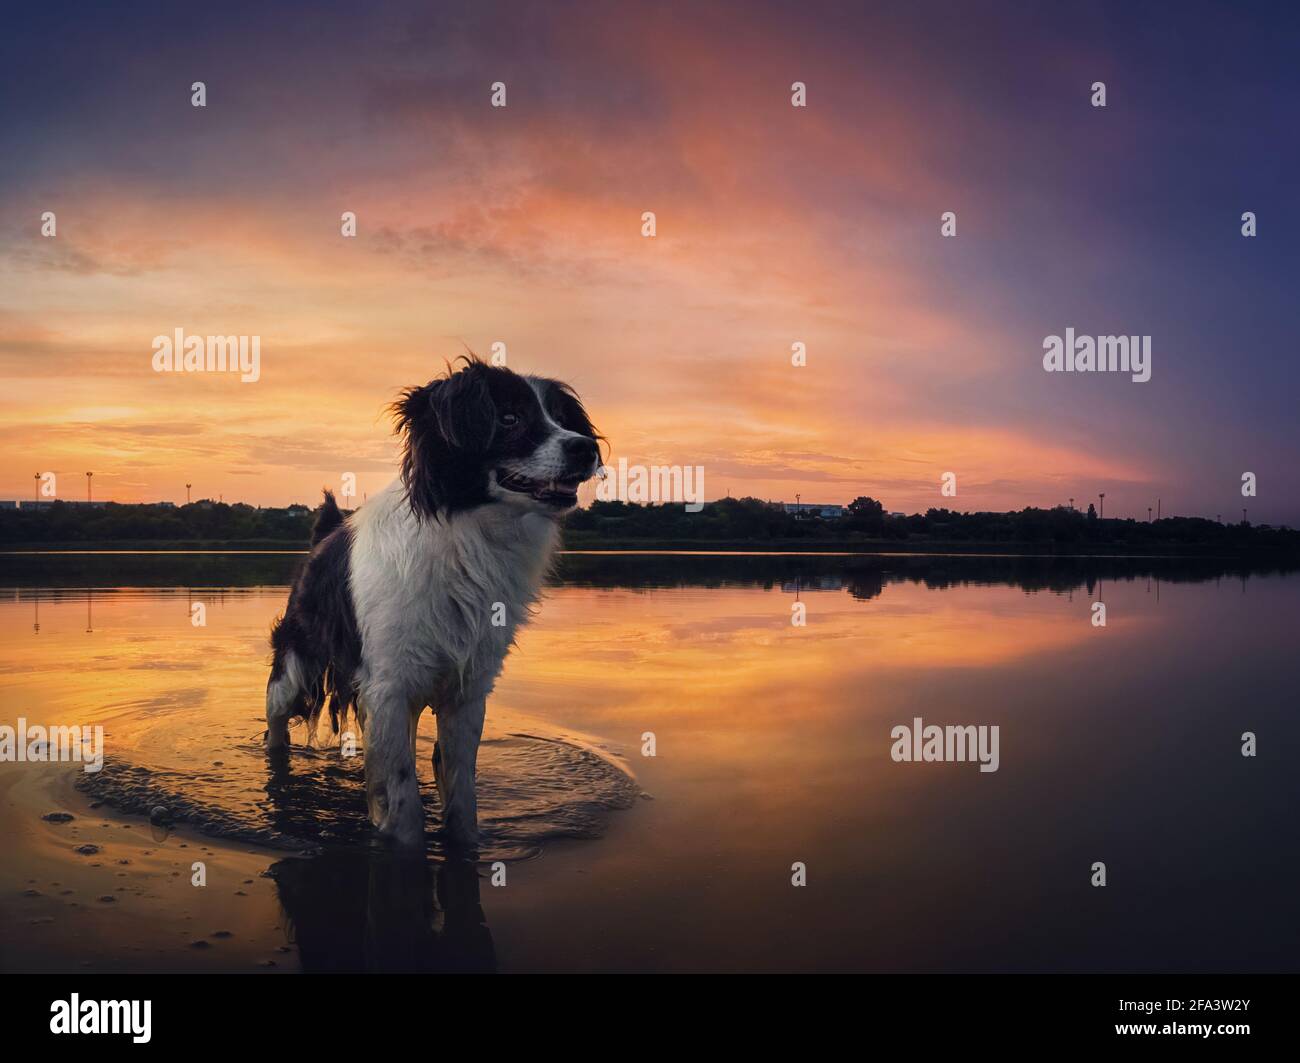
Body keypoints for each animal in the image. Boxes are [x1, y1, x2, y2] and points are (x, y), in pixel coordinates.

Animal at [271, 361, 605, 847]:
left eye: (563, 419)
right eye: (509, 419)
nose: (586, 447)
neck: (468, 535)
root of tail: (327, 532)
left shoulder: (467, 691)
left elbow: (462, 793)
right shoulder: (388, 687)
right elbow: (402, 801)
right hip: (295, 668)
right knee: (275, 722)